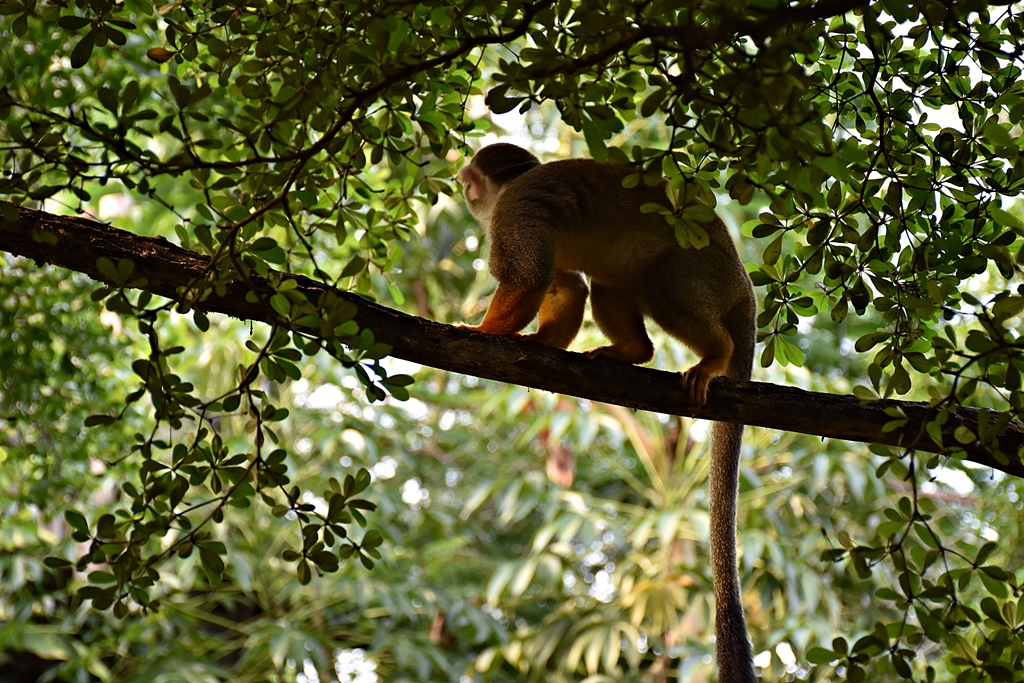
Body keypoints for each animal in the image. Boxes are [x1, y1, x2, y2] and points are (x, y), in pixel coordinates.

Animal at [457, 143, 757, 683]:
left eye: (473, 178)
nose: (462, 186)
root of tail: (745, 285)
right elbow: (565, 285)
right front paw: (540, 342)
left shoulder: (515, 210)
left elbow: (528, 276)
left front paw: (485, 332)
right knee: (611, 281)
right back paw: (634, 352)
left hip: (702, 271)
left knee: (660, 283)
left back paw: (715, 354)